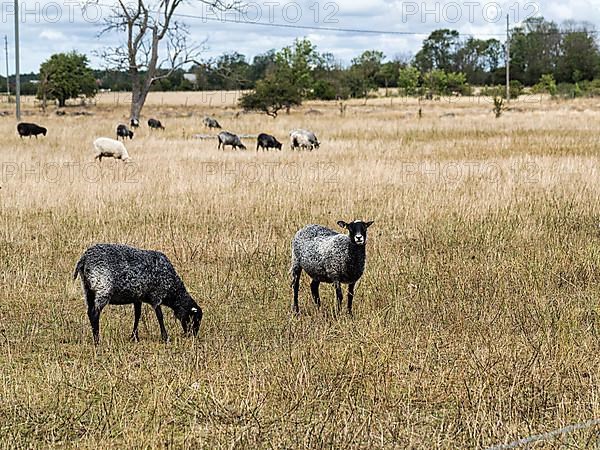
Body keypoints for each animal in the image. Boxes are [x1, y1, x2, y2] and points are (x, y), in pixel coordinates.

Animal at [73, 243, 203, 344]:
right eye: (194, 319)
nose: (192, 336)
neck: (173, 288)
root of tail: (84, 259)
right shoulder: (156, 296)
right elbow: (160, 316)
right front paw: (165, 337)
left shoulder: (137, 298)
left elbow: (138, 315)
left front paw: (134, 337)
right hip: (102, 288)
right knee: (95, 313)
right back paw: (97, 341)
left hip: (88, 290)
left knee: (90, 312)